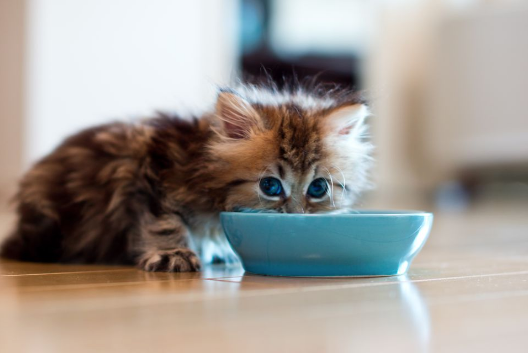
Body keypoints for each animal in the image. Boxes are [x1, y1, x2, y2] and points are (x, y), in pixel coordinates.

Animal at [0, 83, 372, 272]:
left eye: (318, 188)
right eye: (270, 186)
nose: (295, 217)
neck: (199, 163)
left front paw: (216, 247)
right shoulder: (148, 171)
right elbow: (164, 221)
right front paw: (173, 254)